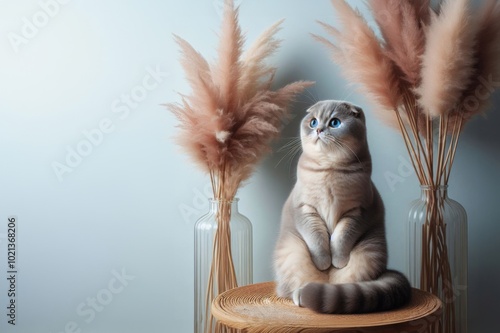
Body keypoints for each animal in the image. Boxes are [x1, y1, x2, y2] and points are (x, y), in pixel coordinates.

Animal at [274, 100, 410, 312]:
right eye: (313, 122)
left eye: (334, 123)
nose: (319, 129)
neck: (329, 168)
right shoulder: (305, 210)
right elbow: (318, 240)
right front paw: (324, 262)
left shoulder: (357, 212)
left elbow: (340, 238)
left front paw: (337, 261)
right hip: (292, 252)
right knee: (296, 287)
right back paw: (301, 295)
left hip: (369, 251)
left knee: (344, 287)